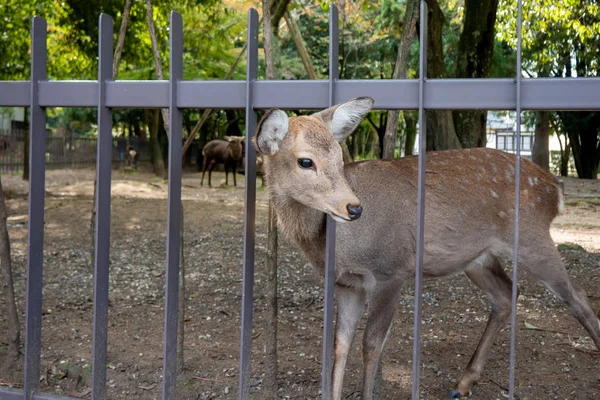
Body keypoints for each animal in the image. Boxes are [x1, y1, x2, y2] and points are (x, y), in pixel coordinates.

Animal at [253, 97, 600, 400]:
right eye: (305, 161)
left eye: (340, 160)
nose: (353, 208)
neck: (335, 246)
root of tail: (555, 190)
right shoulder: (348, 284)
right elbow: (340, 345)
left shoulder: (391, 269)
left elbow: (370, 345)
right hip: (478, 258)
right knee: (507, 293)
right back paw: (462, 384)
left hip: (532, 238)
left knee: (578, 296)